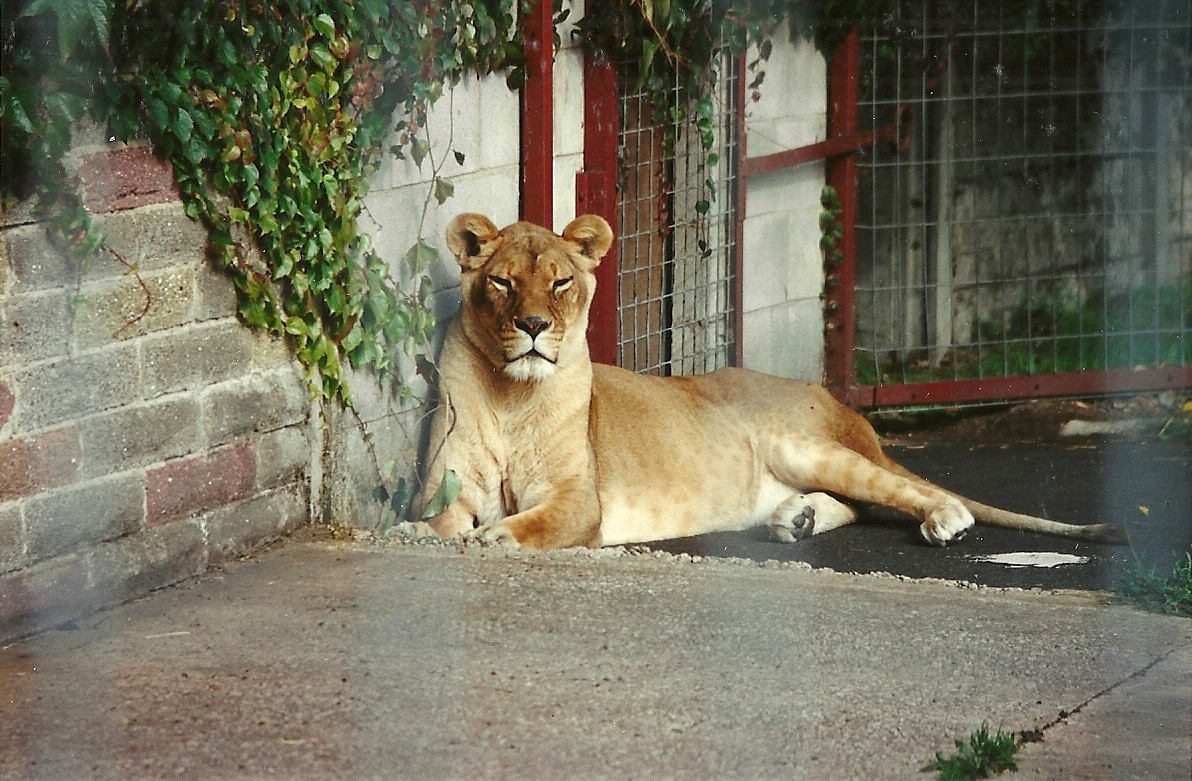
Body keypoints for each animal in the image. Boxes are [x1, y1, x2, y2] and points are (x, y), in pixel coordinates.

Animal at [411, 212, 1127, 551]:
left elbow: (535, 523)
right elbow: (435, 518)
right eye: (503, 283)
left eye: (560, 282)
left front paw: (498, 535)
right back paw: (796, 520)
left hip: (802, 445)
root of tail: (831, 398)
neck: (513, 395)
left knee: (908, 491)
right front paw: (417, 535)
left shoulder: (579, 503)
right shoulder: (448, 486)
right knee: (860, 504)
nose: (533, 325)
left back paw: (942, 520)